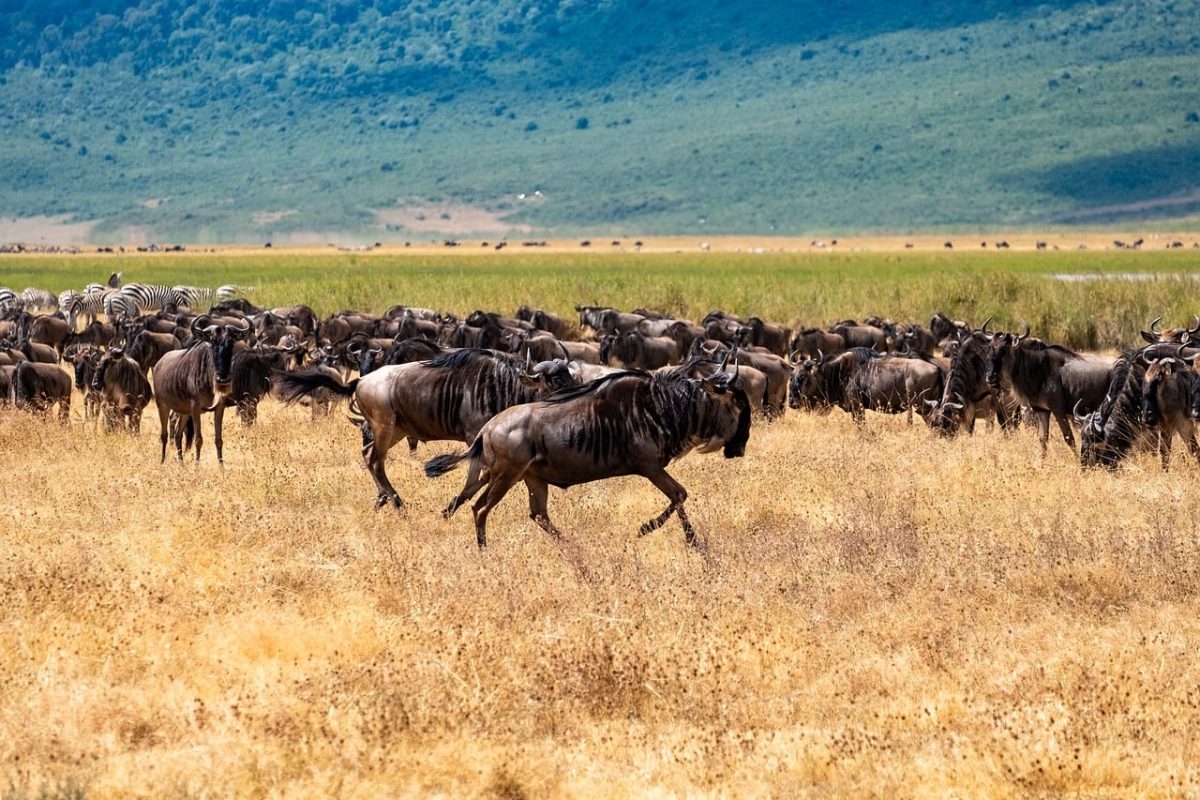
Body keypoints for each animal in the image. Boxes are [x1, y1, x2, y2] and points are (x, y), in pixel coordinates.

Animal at [423, 366, 751, 548]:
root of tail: (488, 428)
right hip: (506, 476)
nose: (740, 448)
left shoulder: (651, 468)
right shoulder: (650, 467)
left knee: (530, 512)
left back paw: (573, 550)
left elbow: (678, 495)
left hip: (522, 477)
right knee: (481, 509)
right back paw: (485, 552)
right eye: (737, 404)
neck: (663, 406)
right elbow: (679, 494)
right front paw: (675, 537)